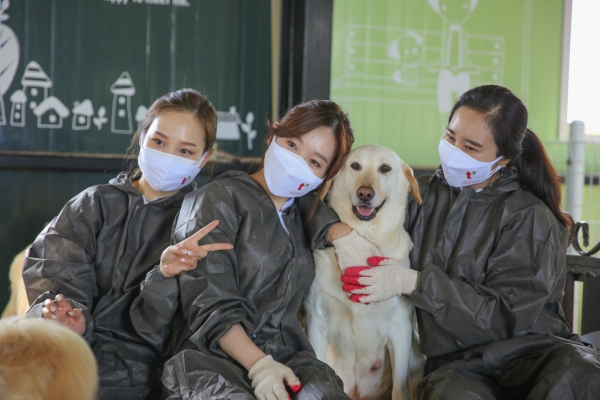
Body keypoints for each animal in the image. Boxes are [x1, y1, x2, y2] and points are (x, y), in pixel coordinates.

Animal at [308, 145, 424, 400]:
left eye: (385, 168)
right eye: (355, 166)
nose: (364, 193)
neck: (366, 236)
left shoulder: (399, 328)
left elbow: (399, 390)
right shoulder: (317, 321)